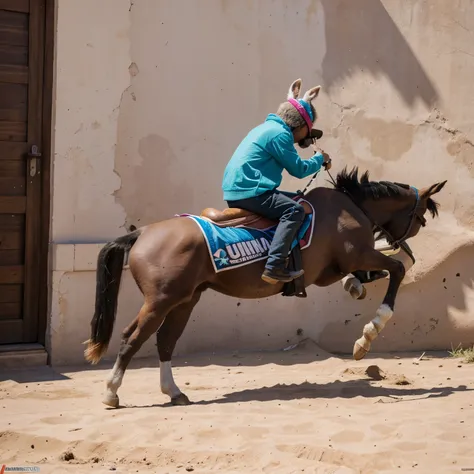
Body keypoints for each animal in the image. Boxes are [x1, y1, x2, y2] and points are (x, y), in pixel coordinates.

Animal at [84, 168, 444, 408]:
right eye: (421, 219)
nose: (398, 243)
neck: (346, 209)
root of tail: (142, 233)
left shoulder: (332, 269)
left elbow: (366, 275)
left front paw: (355, 287)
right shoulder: (358, 254)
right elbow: (397, 270)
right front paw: (367, 335)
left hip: (185, 300)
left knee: (165, 341)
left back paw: (173, 392)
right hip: (160, 301)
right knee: (132, 337)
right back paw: (111, 391)